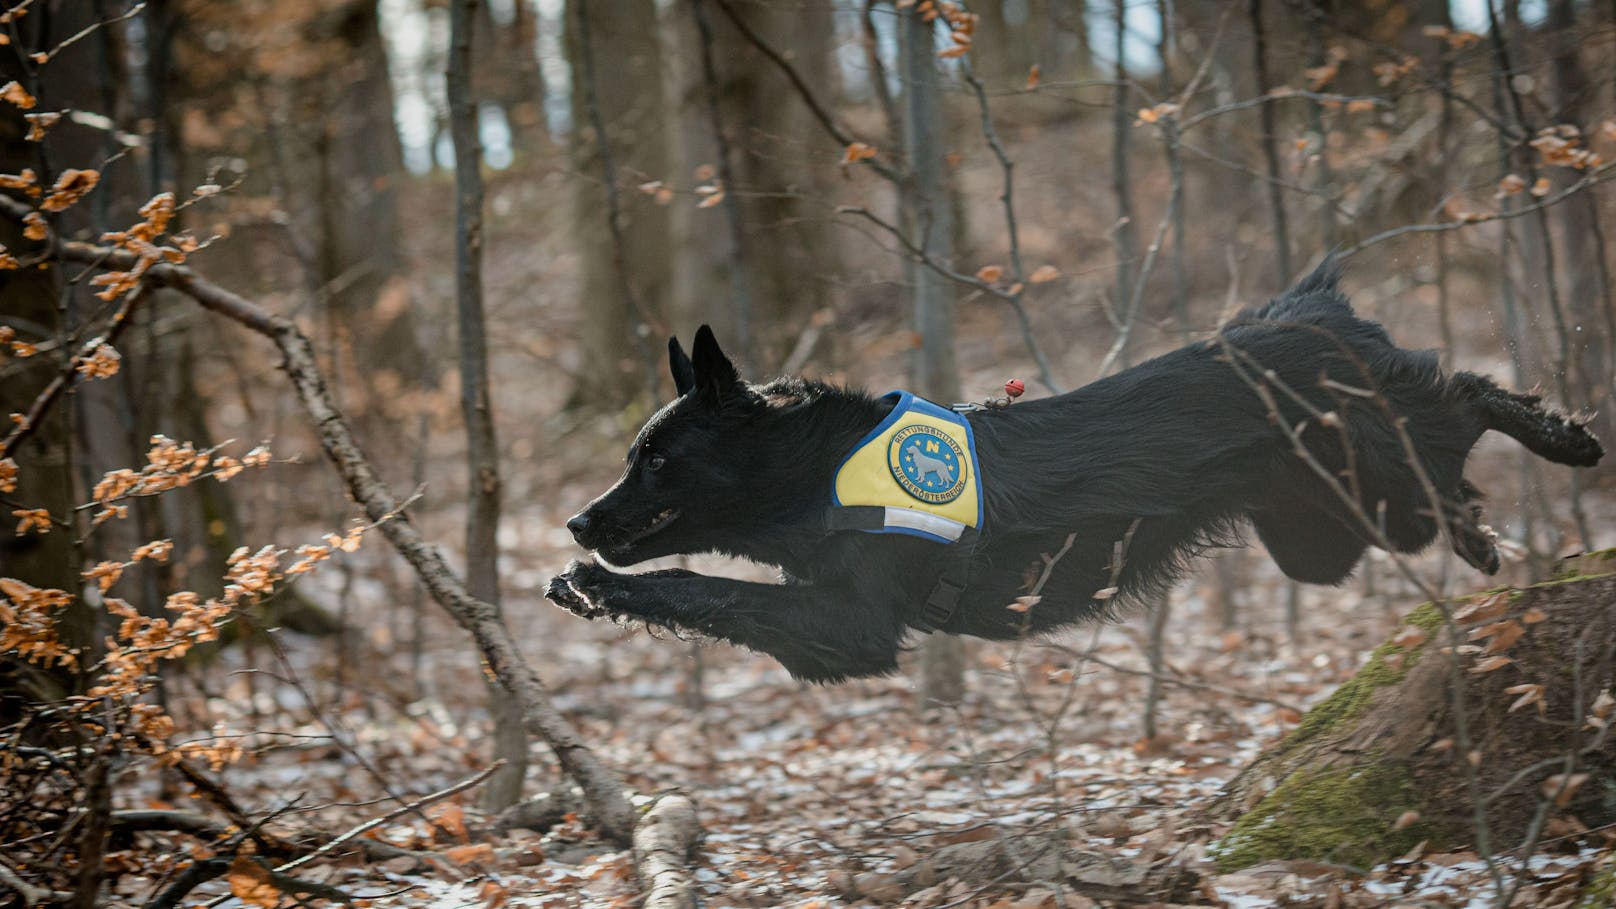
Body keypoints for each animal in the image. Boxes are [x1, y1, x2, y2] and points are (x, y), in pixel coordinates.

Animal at [552, 262, 1603, 679]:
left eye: (656, 458)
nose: (576, 521)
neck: (816, 469)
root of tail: (1316, 304)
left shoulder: (852, 624)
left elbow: (701, 586)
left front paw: (596, 582)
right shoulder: (829, 623)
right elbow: (710, 591)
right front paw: (585, 581)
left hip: (1381, 478)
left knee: (1461, 391)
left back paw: (1564, 443)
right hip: (1321, 533)